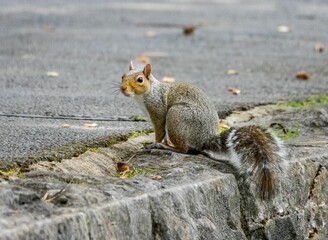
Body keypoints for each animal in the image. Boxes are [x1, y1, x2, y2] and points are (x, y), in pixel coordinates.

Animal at [120, 62, 288, 199]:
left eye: (140, 79)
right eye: (122, 76)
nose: (122, 88)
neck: (147, 93)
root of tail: (205, 139)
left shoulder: (158, 112)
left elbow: (160, 131)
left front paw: (154, 143)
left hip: (176, 116)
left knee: (184, 149)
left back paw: (168, 147)